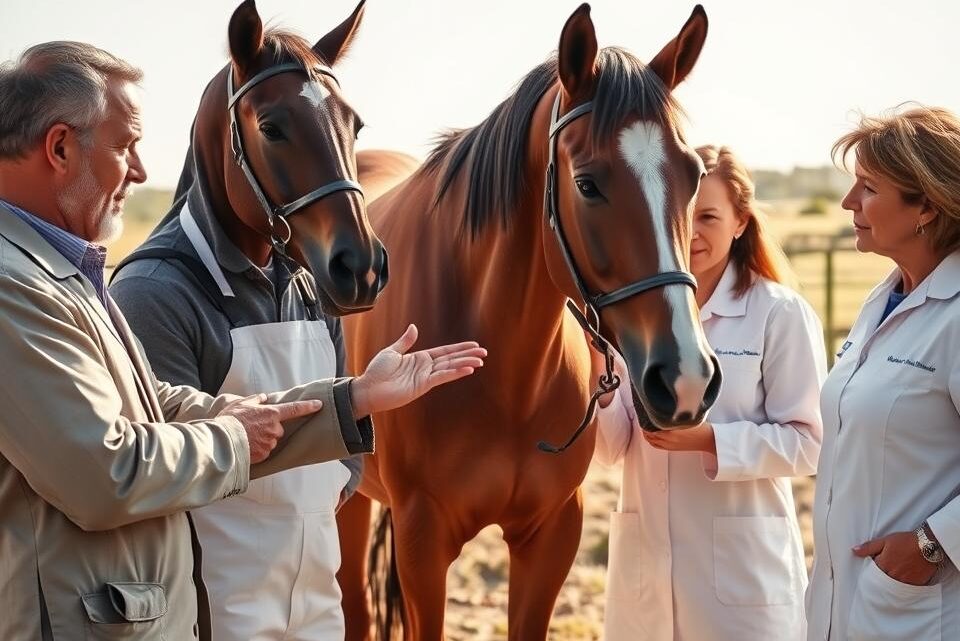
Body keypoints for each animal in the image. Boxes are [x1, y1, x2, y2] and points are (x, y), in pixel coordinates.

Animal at [339, 4, 721, 639]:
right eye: (587, 183)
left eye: (692, 176)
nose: (686, 378)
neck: (505, 379)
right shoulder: (422, 545)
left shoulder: (552, 535)